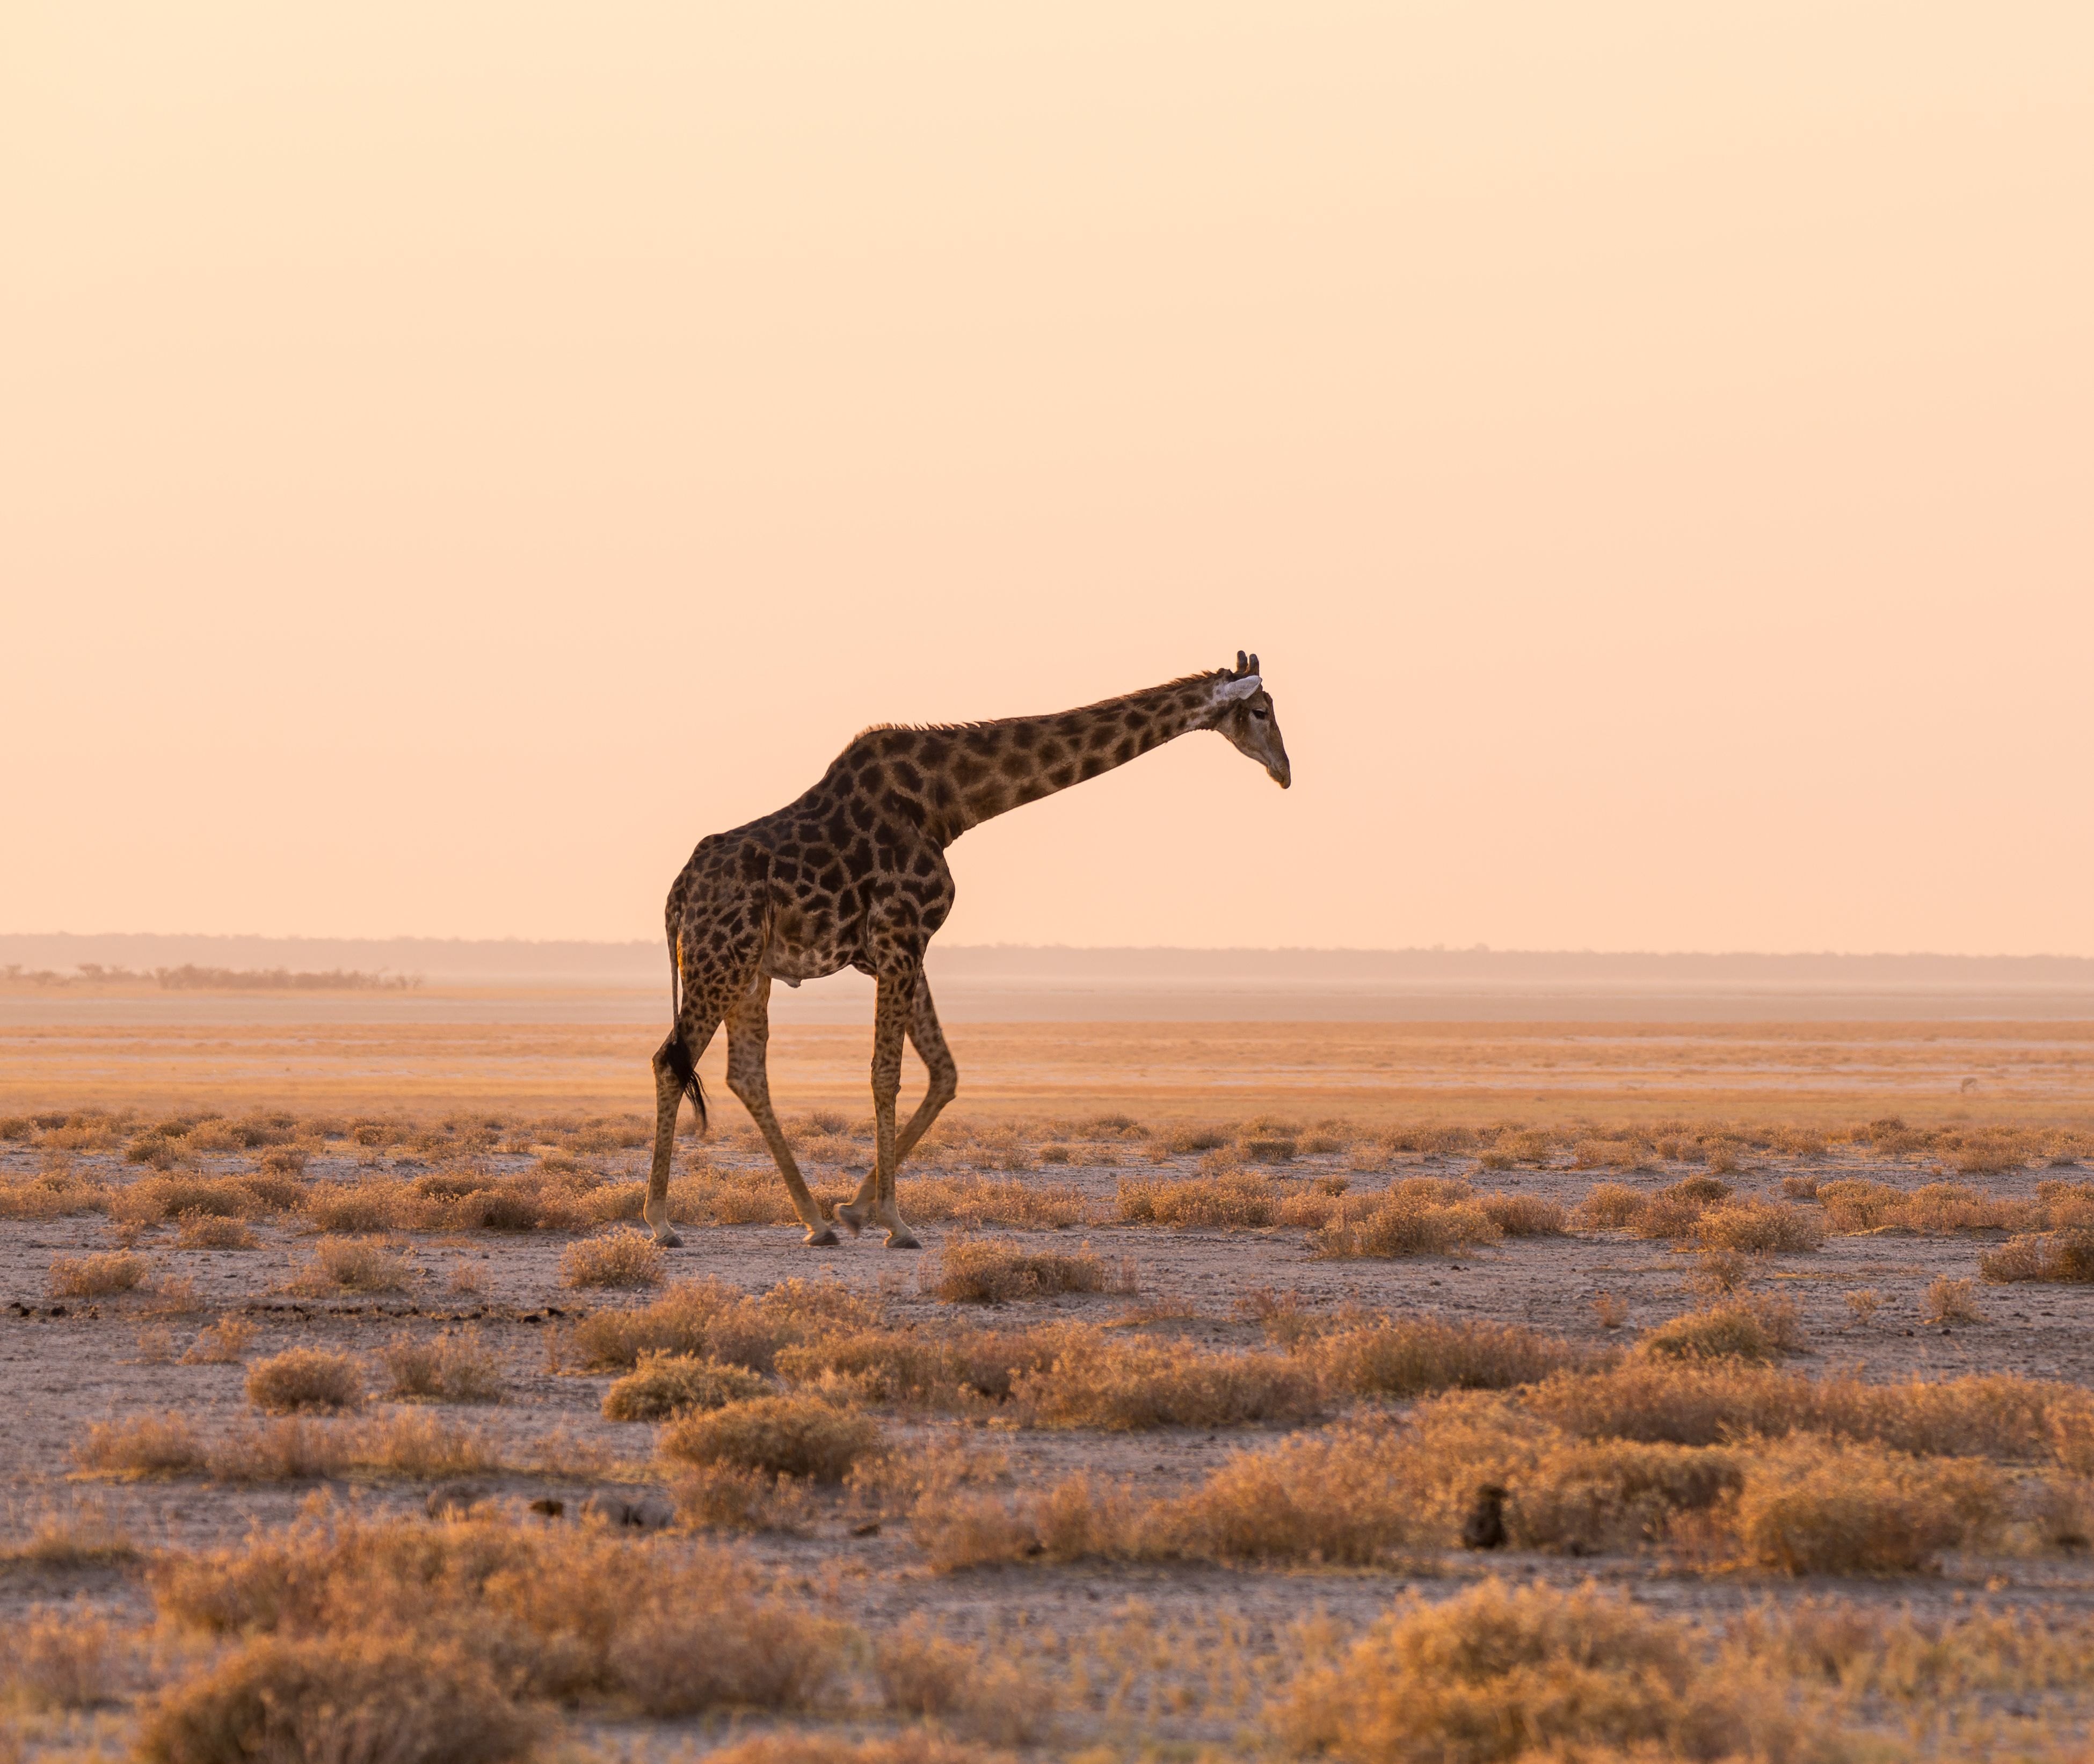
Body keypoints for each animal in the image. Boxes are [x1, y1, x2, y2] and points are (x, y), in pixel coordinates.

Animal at [643, 652, 1290, 1249]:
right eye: (1260, 711)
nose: (1285, 772)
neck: (947, 803)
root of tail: (676, 894)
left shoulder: (900, 949)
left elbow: (945, 1073)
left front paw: (857, 1210)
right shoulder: (901, 936)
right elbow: (886, 1072)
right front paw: (896, 1221)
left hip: (750, 970)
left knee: (745, 1073)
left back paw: (814, 1221)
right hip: (720, 959)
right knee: (671, 1060)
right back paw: (661, 1222)